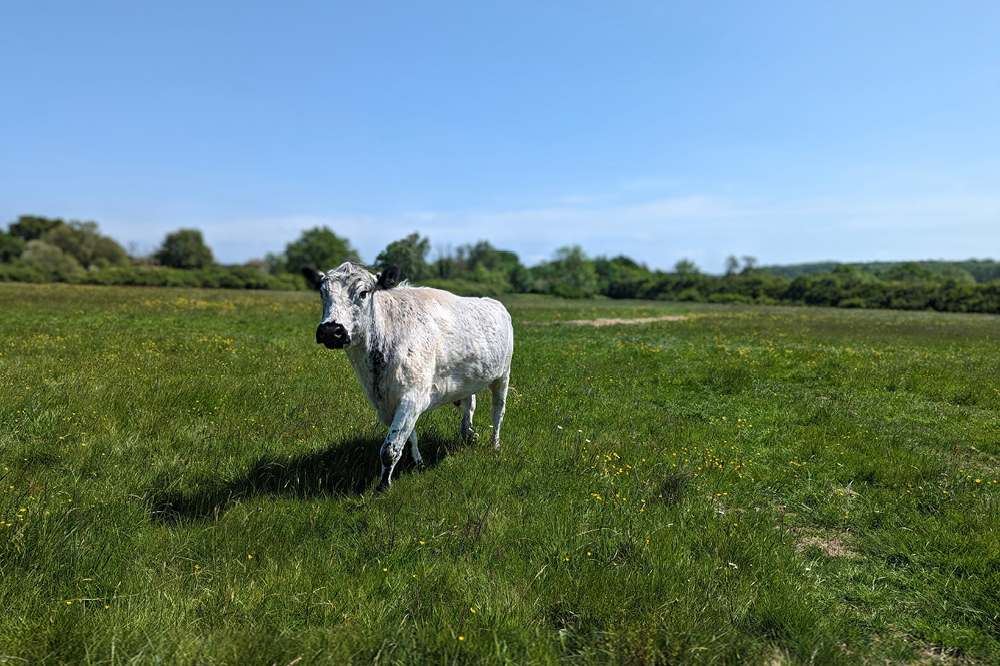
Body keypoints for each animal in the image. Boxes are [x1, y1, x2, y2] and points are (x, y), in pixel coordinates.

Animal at [300, 262, 512, 490]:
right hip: (468, 380)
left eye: (363, 293)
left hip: (503, 375)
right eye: (322, 292)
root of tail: (493, 302)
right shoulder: (387, 403)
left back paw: (495, 446)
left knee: (497, 412)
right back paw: (468, 434)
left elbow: (389, 448)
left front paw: (383, 485)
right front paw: (418, 463)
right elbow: (409, 438)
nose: (331, 331)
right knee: (468, 405)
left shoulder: (412, 397)